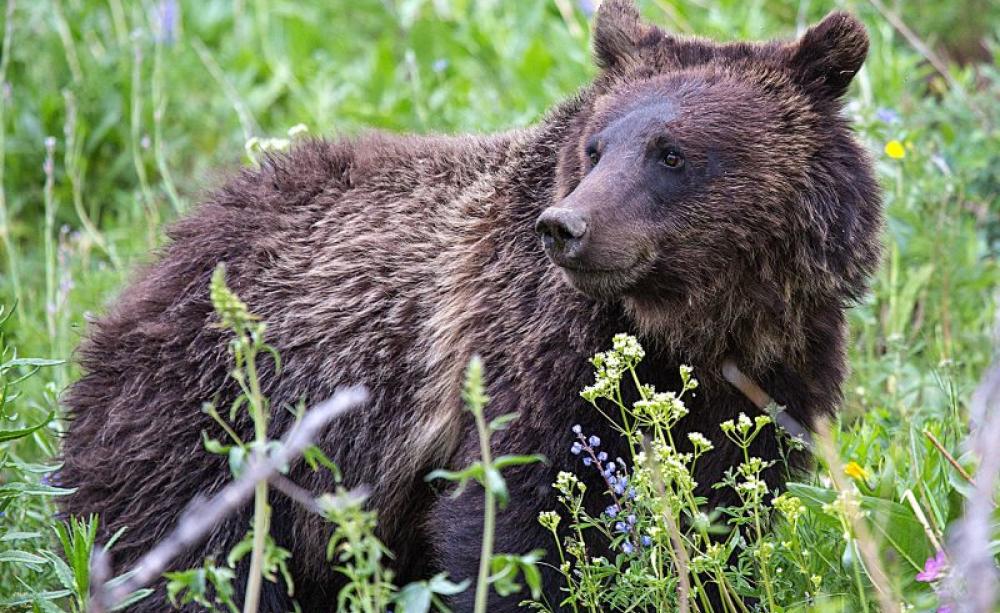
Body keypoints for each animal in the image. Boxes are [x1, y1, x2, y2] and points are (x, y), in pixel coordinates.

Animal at [59, 1, 881, 611]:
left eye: (672, 153)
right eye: (596, 146)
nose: (566, 226)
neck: (699, 326)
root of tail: (166, 251)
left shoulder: (781, 370)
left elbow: (727, 507)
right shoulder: (528, 359)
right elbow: (509, 525)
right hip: (215, 418)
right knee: (180, 548)